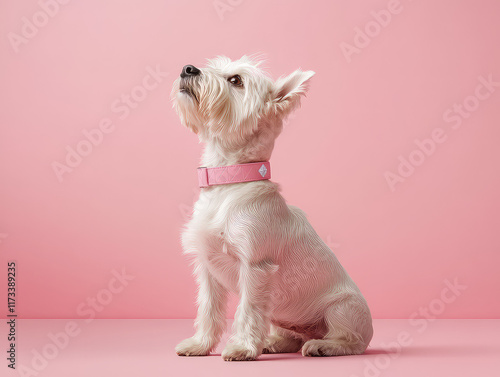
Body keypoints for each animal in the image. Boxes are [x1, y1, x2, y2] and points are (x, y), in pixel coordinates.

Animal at [172, 55, 372, 358]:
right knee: (292, 336)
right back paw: (273, 342)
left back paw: (323, 345)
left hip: (343, 308)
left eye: (236, 80)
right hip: (284, 317)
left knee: (352, 341)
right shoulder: (208, 269)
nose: (188, 69)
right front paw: (200, 345)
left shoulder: (256, 268)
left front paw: (242, 348)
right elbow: (208, 310)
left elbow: (248, 311)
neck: (228, 180)